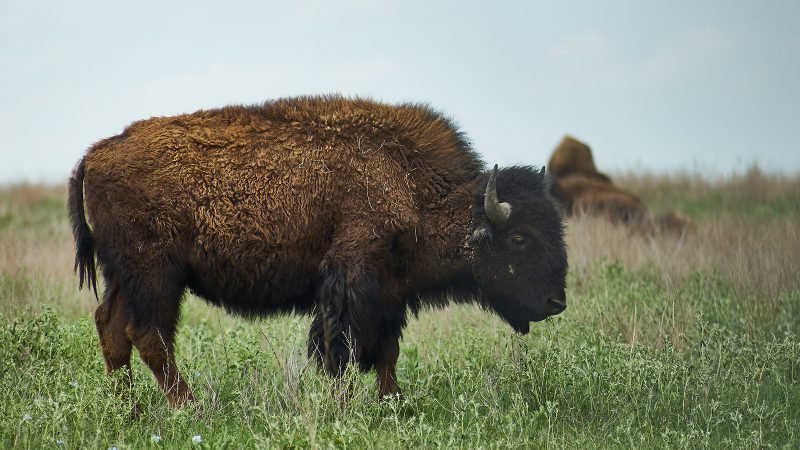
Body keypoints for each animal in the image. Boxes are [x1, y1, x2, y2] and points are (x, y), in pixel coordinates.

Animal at [69, 96, 568, 406]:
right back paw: (190, 408)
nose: (556, 302)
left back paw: (130, 412)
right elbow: (341, 351)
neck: (408, 183)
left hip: (124, 275)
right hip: (156, 274)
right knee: (148, 335)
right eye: (520, 238)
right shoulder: (351, 282)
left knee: (112, 329)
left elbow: (386, 353)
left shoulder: (390, 294)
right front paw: (344, 408)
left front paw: (394, 404)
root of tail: (97, 154)